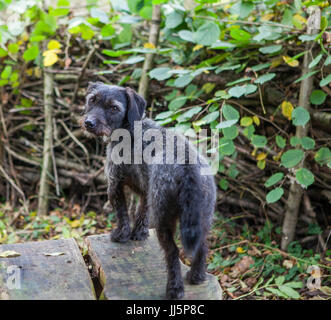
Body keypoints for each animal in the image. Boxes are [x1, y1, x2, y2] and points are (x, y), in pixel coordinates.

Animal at [82, 82, 218, 300]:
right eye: (92, 100)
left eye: (114, 108)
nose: (89, 123)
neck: (129, 128)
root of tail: (189, 169)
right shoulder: (147, 190)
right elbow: (141, 212)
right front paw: (139, 234)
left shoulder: (114, 184)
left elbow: (122, 214)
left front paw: (121, 235)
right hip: (202, 218)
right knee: (202, 246)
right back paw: (197, 277)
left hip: (163, 219)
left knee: (172, 253)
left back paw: (175, 289)